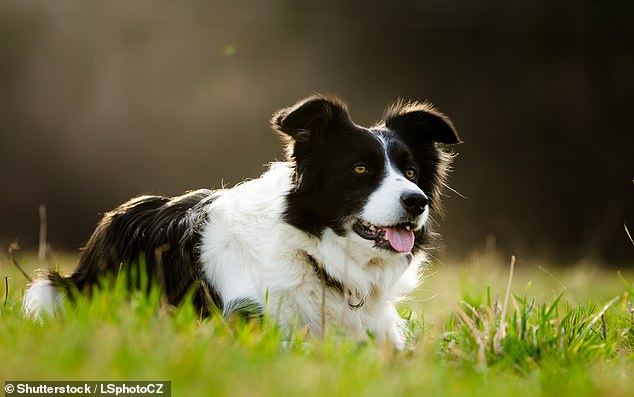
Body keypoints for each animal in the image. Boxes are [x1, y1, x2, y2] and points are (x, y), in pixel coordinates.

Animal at [23, 94, 460, 348]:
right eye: (360, 169)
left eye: (411, 172)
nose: (417, 201)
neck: (314, 254)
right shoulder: (254, 322)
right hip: (57, 292)